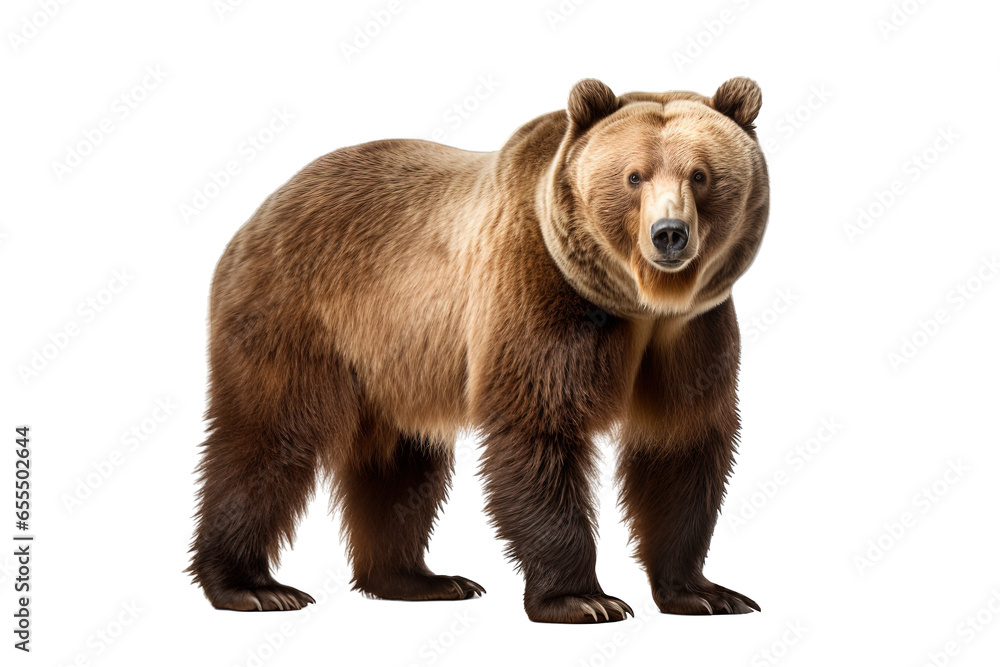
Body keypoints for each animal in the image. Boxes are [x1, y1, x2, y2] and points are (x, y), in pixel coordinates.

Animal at [188, 77, 769, 623]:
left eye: (700, 175)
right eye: (634, 176)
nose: (669, 233)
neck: (639, 304)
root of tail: (264, 207)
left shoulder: (691, 334)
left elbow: (682, 442)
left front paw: (704, 592)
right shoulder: (537, 290)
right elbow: (538, 429)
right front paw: (583, 598)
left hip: (398, 358)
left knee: (401, 461)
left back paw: (419, 579)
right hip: (299, 314)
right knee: (267, 439)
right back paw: (252, 586)